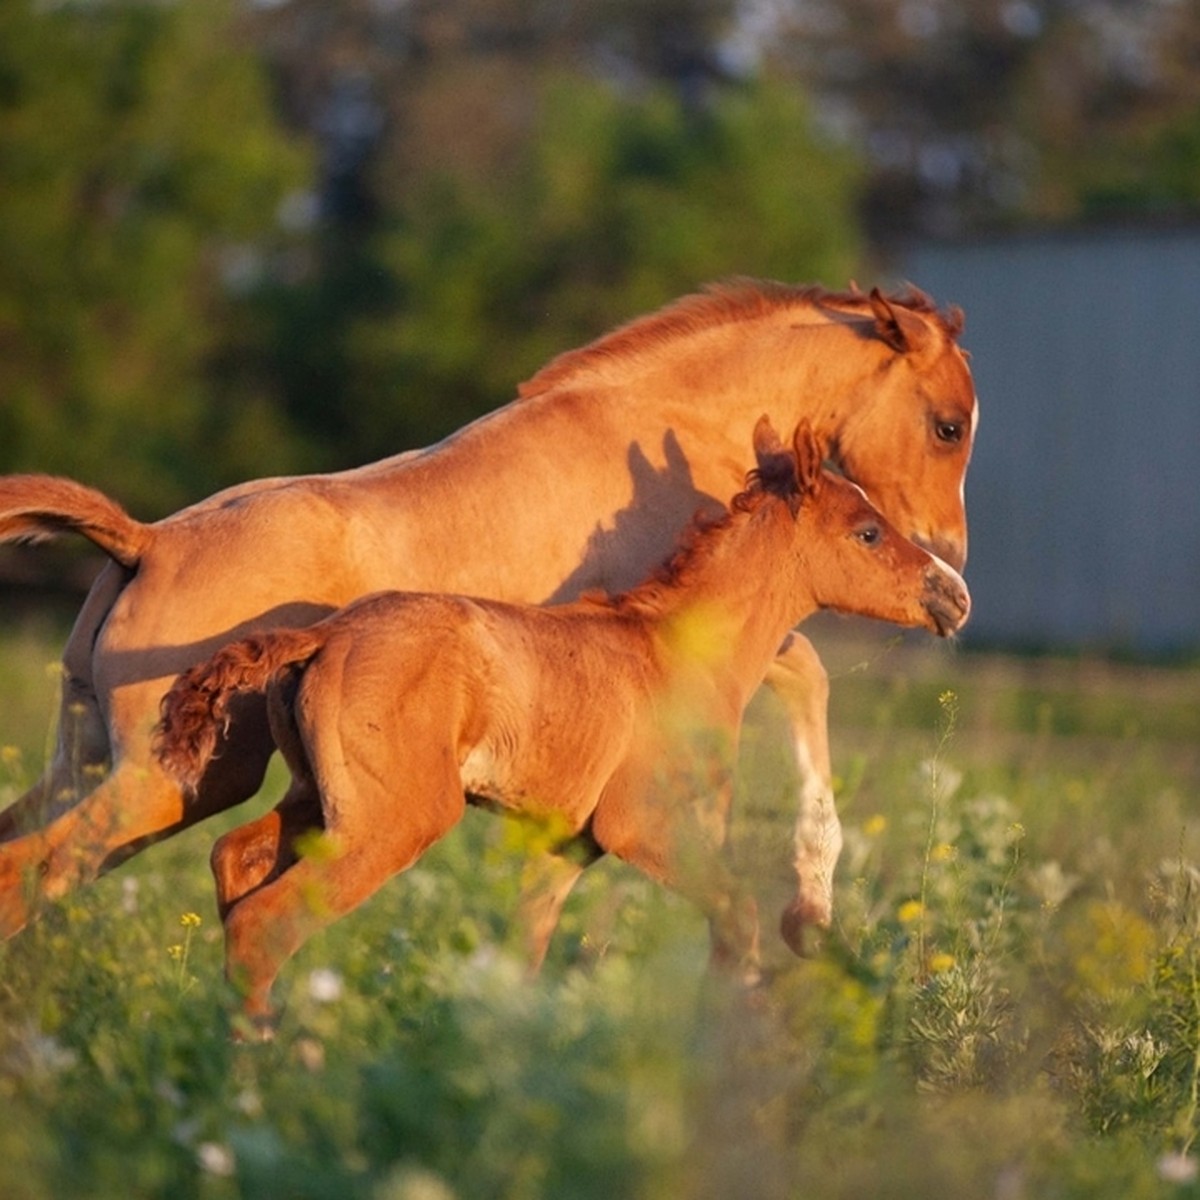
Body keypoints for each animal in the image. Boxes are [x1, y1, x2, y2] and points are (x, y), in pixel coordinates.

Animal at [0, 276, 974, 950]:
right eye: (949, 425)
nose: (950, 571)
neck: (658, 426)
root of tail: (145, 542)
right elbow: (809, 678)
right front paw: (810, 903)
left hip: (98, 758)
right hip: (177, 777)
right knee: (38, 867)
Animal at [154, 417, 969, 1027]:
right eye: (868, 532)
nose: (953, 595)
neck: (675, 650)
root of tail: (323, 635)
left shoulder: (567, 846)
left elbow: (525, 952)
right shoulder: (648, 828)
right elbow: (737, 919)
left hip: (321, 803)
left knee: (233, 860)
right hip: (394, 819)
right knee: (264, 925)